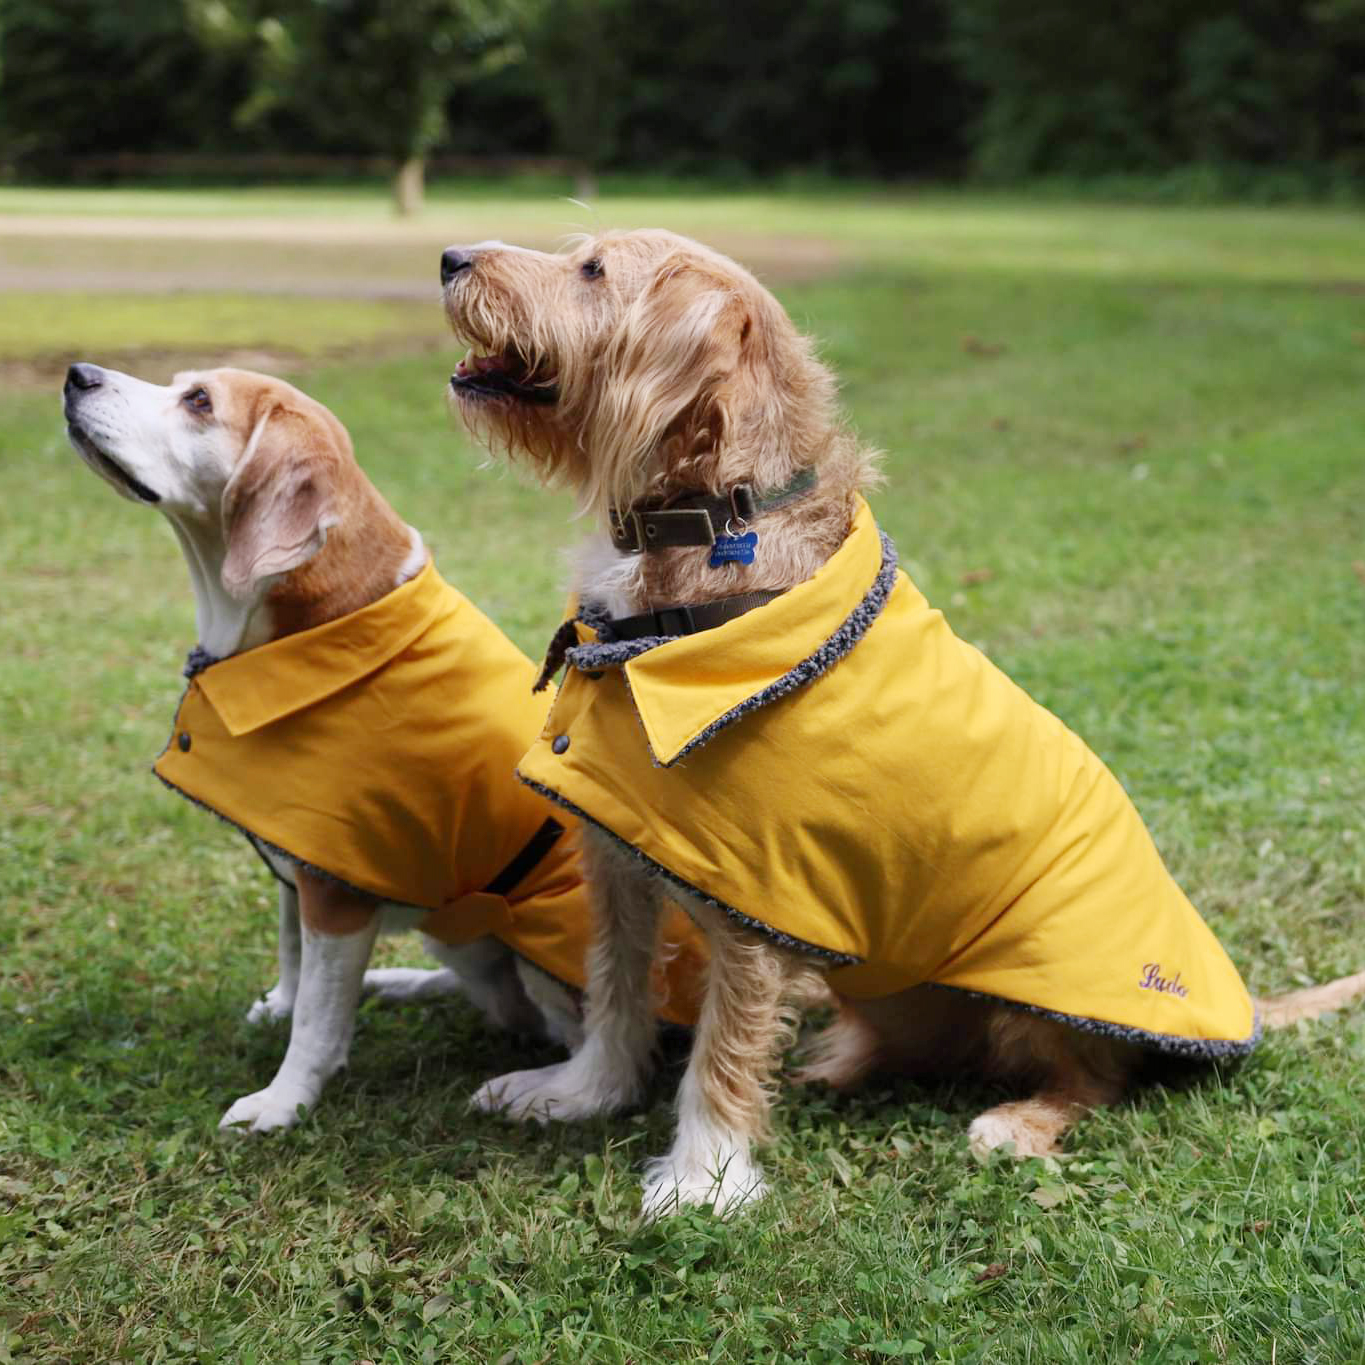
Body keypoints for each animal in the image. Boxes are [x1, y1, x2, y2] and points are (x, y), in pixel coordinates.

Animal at [62, 363, 704, 1130]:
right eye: (185, 385)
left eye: (198, 402)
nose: (77, 374)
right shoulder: (299, 861)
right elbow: (295, 958)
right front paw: (283, 1006)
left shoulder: (336, 893)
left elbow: (317, 1017)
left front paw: (283, 1100)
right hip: (454, 934)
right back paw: (397, 981)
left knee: (590, 1038)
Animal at [442, 226, 1365, 1217]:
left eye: (592, 271)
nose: (451, 257)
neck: (706, 531)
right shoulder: (620, 855)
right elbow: (615, 989)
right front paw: (582, 1090)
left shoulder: (757, 888)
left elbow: (723, 1042)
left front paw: (703, 1176)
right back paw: (830, 1063)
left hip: (1038, 990)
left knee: (1095, 1079)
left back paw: (1016, 1122)